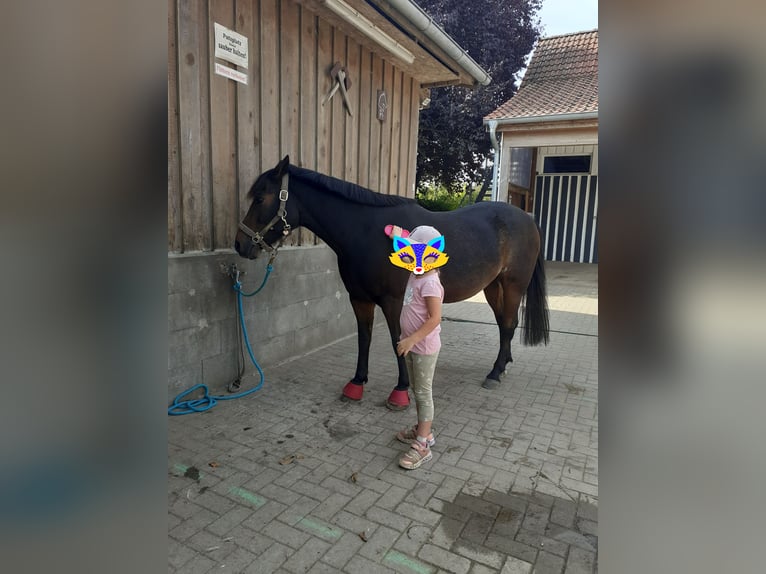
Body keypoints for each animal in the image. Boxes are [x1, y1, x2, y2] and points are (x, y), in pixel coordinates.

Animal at [234, 156, 549, 409]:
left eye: (261, 198)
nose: (240, 245)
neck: (366, 233)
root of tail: (527, 218)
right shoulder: (359, 299)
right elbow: (364, 338)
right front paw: (357, 383)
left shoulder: (393, 300)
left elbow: (398, 339)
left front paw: (400, 390)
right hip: (492, 287)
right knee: (505, 324)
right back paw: (503, 365)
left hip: (513, 285)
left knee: (508, 324)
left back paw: (494, 373)